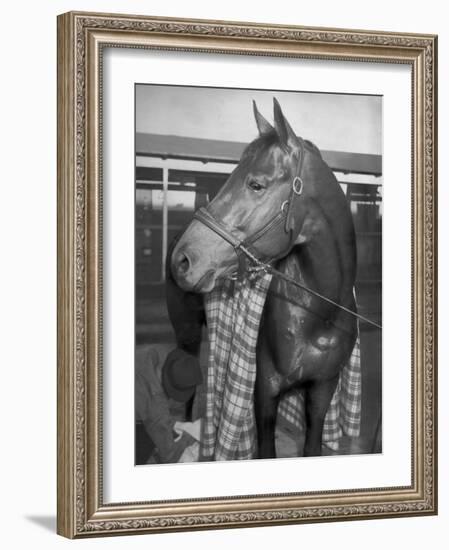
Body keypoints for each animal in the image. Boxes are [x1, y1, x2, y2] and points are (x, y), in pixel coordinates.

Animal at [166, 100, 356, 462]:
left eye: (256, 184)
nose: (182, 261)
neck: (318, 315)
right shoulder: (265, 391)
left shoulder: (322, 390)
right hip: (189, 334)